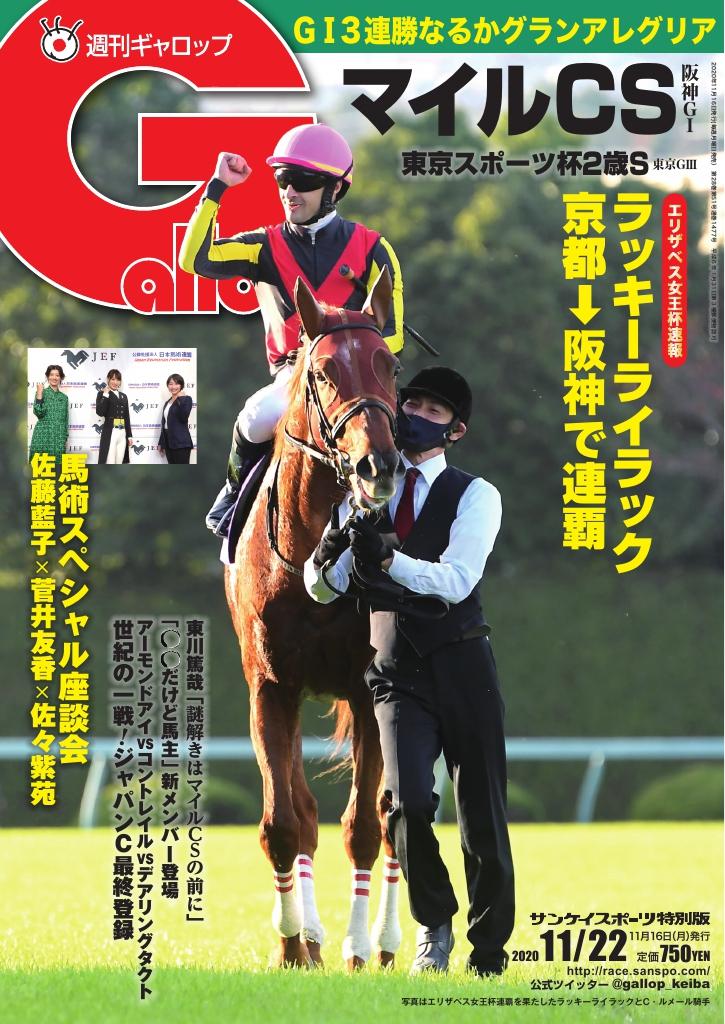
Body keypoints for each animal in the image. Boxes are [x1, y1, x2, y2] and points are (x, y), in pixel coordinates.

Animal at [225, 268, 405, 969]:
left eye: (388, 363)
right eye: (324, 371)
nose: (377, 465)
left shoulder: (367, 687)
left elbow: (365, 827)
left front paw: (360, 949)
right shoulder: (271, 687)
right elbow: (284, 822)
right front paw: (293, 948)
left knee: (393, 822)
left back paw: (383, 945)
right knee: (302, 813)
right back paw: (313, 938)